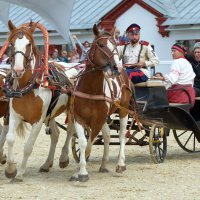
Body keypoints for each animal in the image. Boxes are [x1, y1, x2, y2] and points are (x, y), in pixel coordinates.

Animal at [3, 19, 77, 181]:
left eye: (28, 44)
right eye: (11, 44)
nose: (18, 70)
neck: (28, 87)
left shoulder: (38, 120)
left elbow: (28, 146)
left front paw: (20, 173)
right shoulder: (14, 115)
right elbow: (10, 138)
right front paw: (10, 169)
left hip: (71, 110)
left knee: (70, 130)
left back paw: (63, 158)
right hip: (50, 114)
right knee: (55, 134)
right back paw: (46, 164)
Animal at [69, 24, 132, 181]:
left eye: (115, 45)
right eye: (102, 45)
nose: (116, 67)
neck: (91, 90)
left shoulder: (97, 120)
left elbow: (89, 144)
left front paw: (81, 172)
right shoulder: (78, 118)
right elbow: (83, 142)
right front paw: (79, 171)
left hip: (123, 110)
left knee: (122, 135)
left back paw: (120, 164)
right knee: (108, 134)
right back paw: (103, 164)